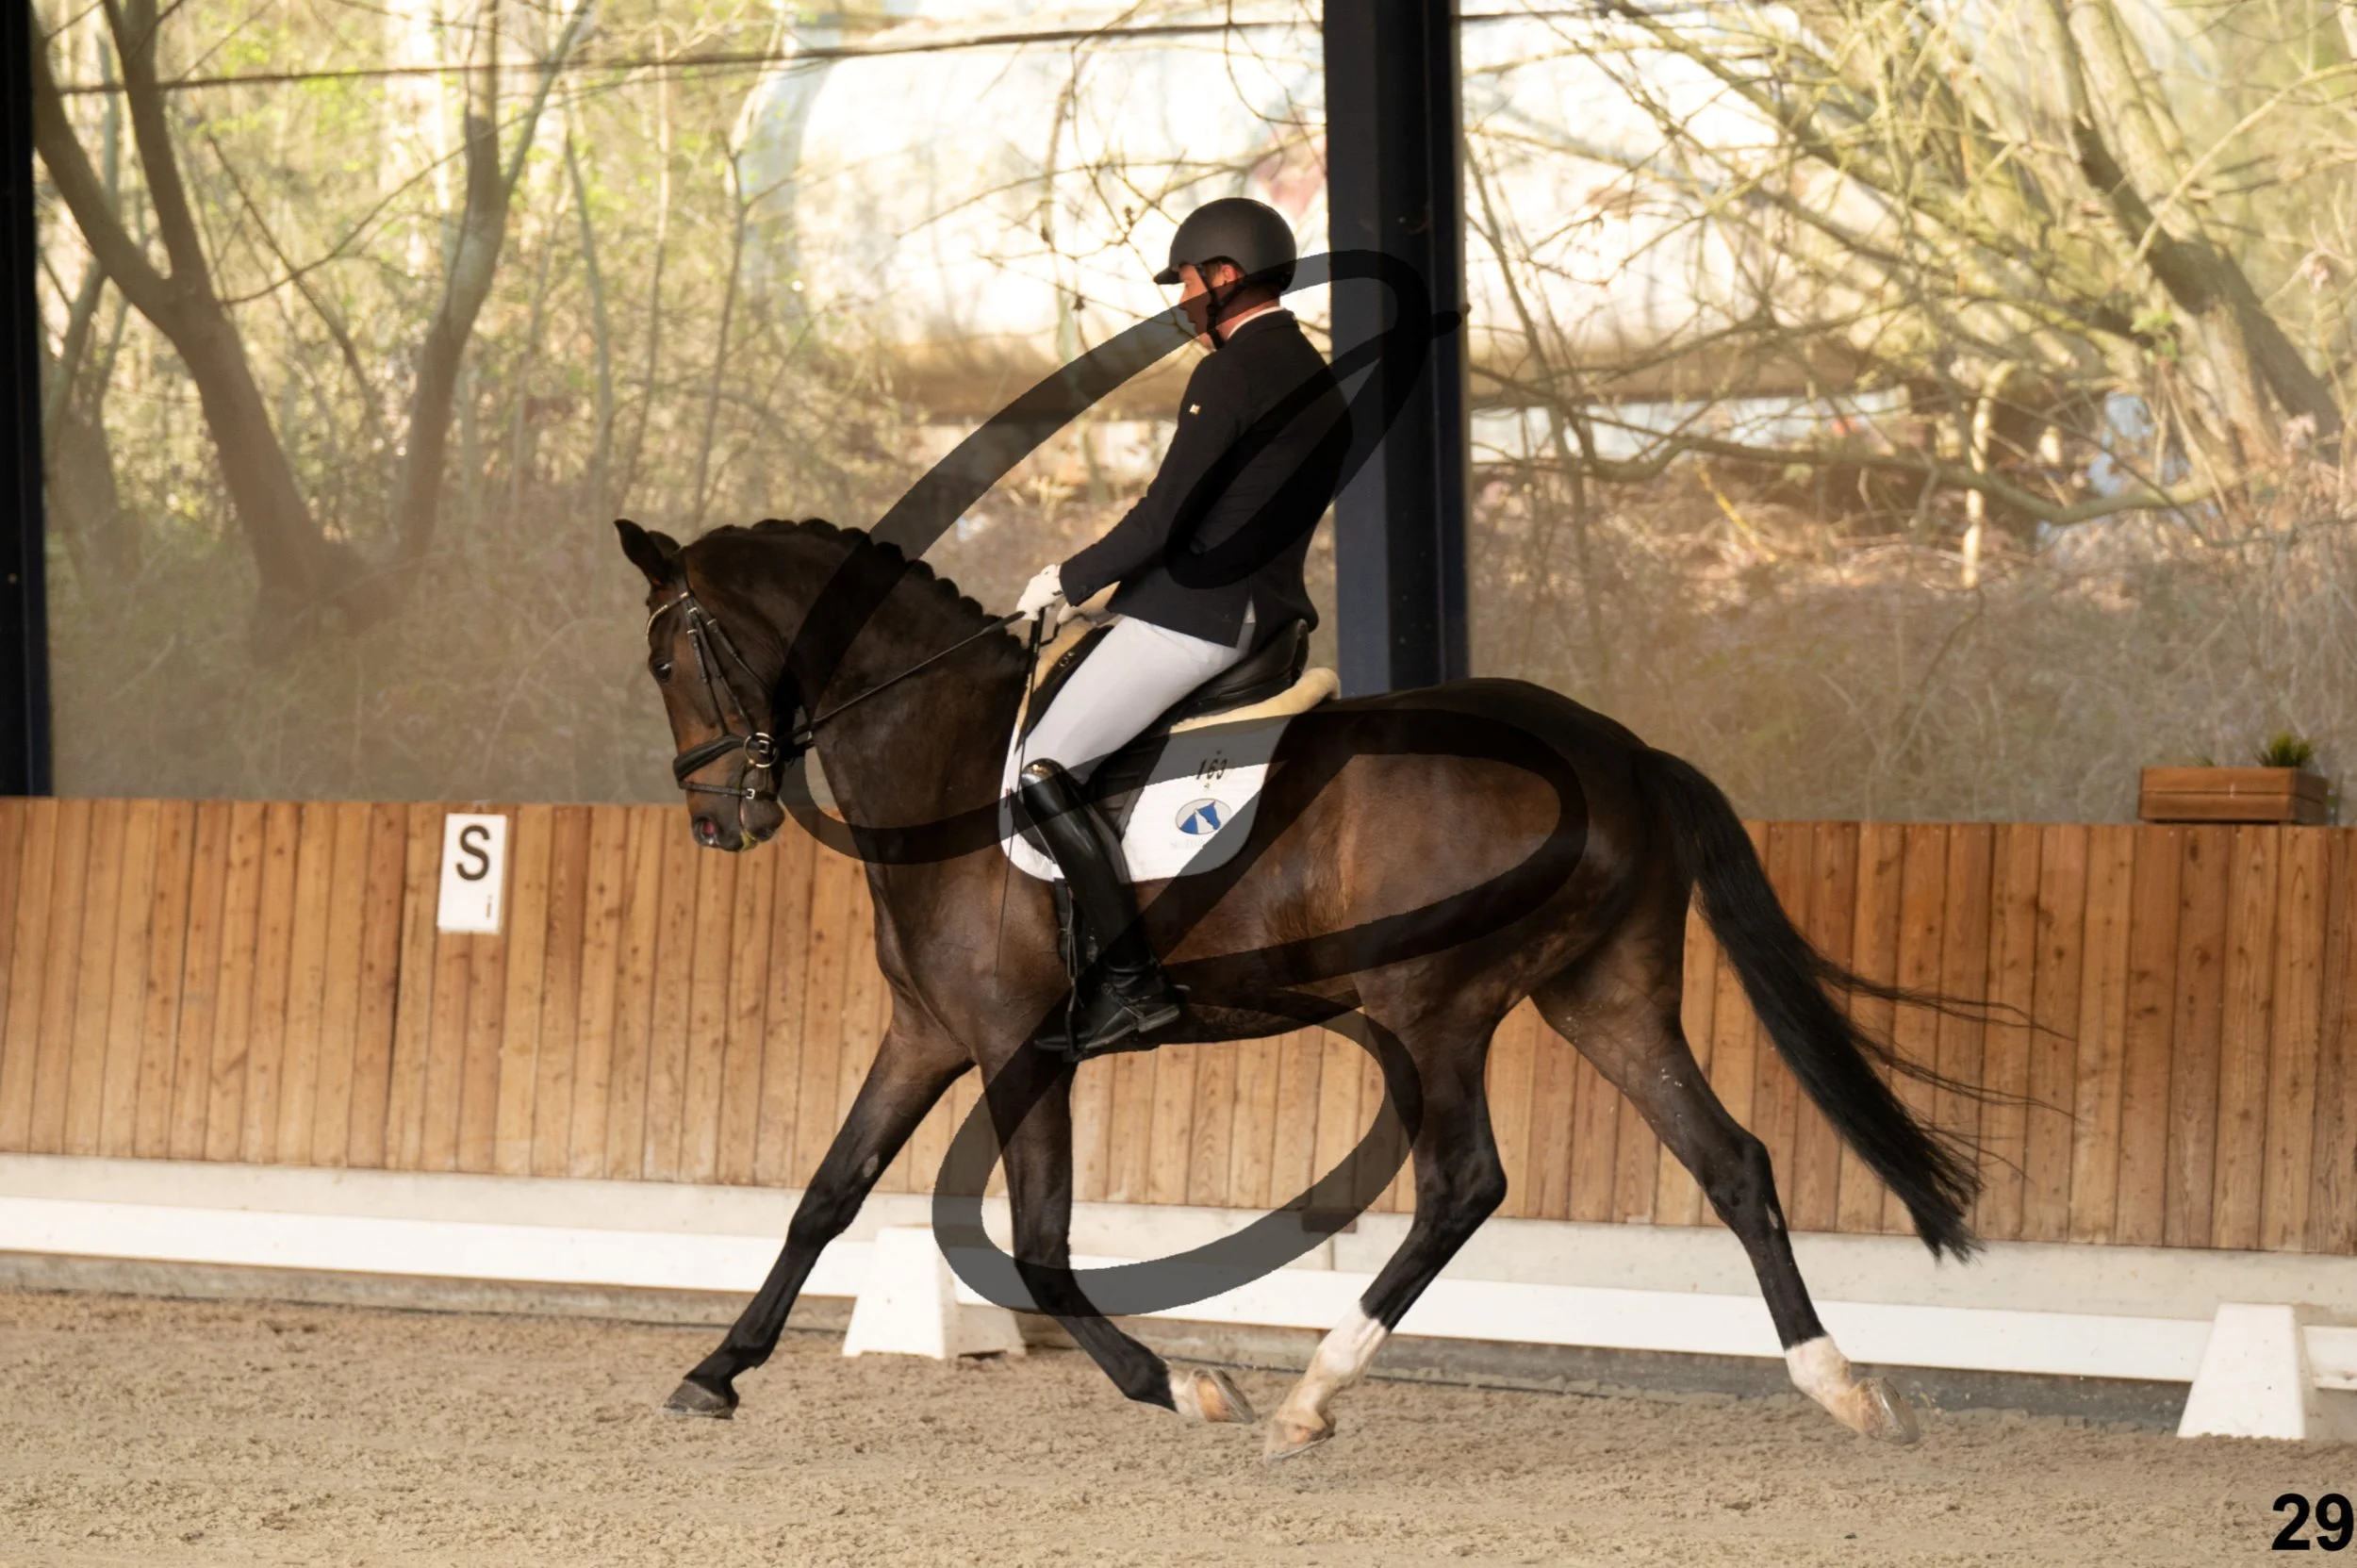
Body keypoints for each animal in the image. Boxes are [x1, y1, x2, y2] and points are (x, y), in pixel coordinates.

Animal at [617, 514, 1980, 1458]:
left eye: (667, 660)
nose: (715, 822)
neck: (943, 757)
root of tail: (1625, 754)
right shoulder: (926, 1033)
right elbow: (825, 1196)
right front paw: (715, 1371)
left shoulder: (1014, 1042)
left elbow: (1043, 1247)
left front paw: (1180, 1383)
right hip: (1607, 993)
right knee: (1732, 1159)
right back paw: (1843, 1386)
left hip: (1430, 1005)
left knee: (1461, 1184)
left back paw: (1311, 1397)